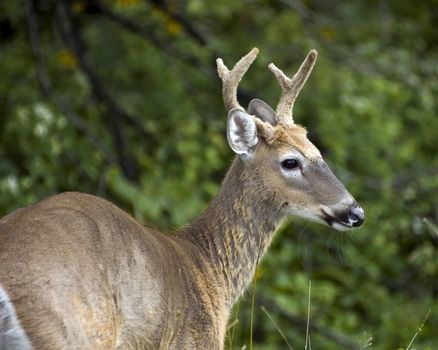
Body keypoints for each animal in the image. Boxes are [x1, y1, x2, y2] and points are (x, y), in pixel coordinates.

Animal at [0, 47, 362, 350]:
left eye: (318, 152)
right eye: (290, 162)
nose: (355, 212)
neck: (207, 268)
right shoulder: (193, 340)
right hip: (73, 330)